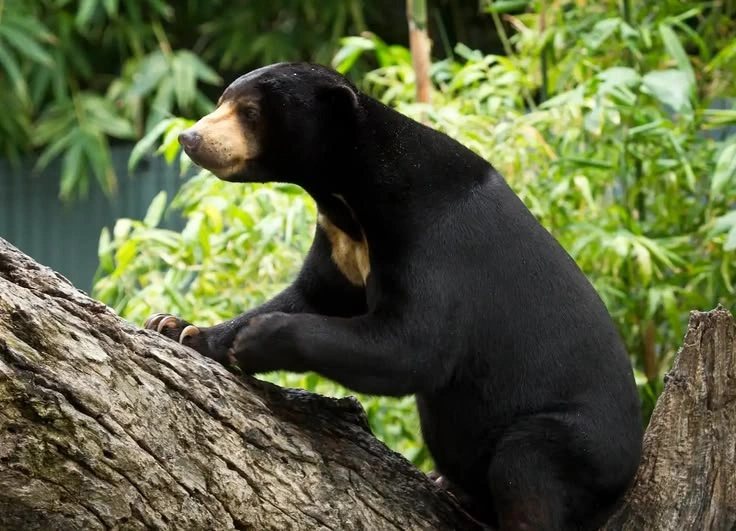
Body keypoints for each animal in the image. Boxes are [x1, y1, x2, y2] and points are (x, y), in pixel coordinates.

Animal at [144, 62, 643, 530]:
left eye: (250, 112)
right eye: (223, 100)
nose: (189, 138)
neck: (349, 195)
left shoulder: (436, 241)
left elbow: (412, 347)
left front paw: (253, 340)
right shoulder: (341, 244)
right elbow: (315, 294)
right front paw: (177, 327)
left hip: (579, 441)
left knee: (527, 468)